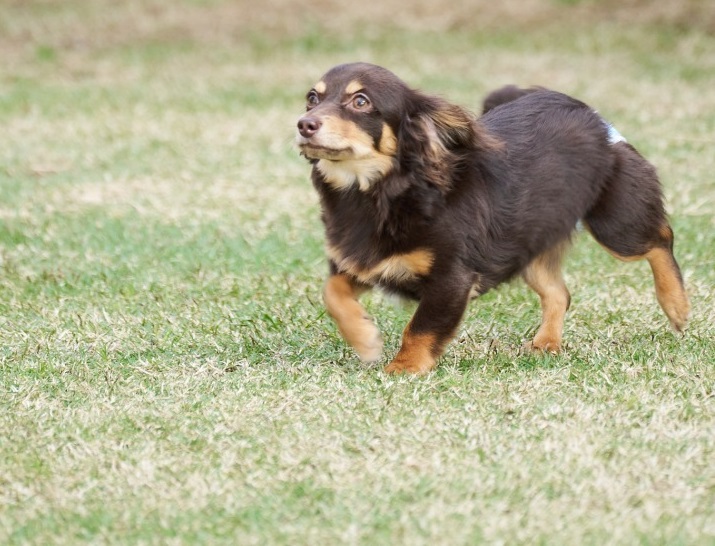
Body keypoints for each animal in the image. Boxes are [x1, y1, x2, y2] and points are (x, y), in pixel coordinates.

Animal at [296, 63, 690, 374]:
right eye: (311, 98)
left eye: (361, 101)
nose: (304, 124)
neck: (378, 192)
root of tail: (586, 112)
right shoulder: (363, 262)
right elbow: (332, 292)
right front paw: (365, 338)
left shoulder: (452, 278)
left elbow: (420, 327)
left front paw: (404, 367)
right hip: (529, 244)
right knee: (559, 293)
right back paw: (546, 343)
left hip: (616, 225)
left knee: (660, 239)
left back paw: (677, 306)